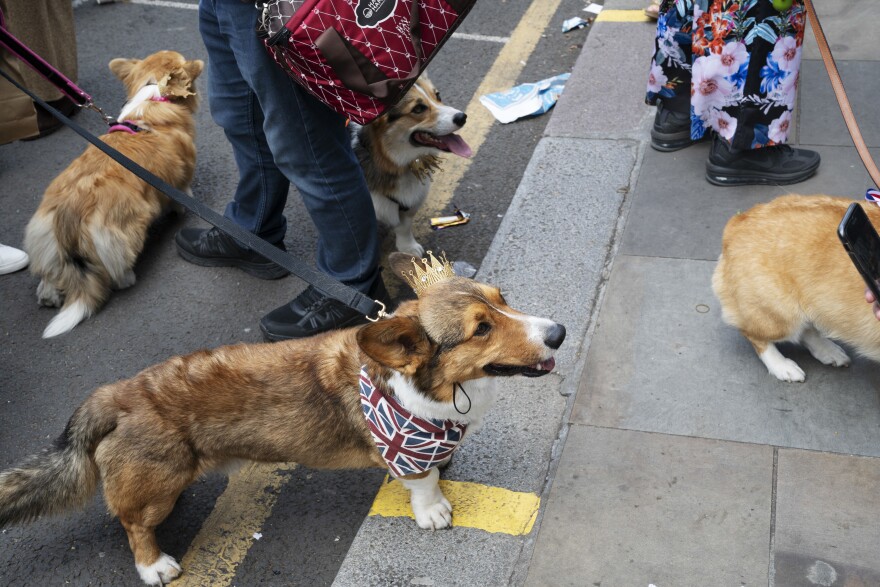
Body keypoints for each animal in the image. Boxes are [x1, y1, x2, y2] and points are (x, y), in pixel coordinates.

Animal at [0, 254, 564, 587]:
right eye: (481, 328)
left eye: (503, 299)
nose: (558, 332)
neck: (435, 388)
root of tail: (112, 396)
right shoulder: (405, 451)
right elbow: (423, 484)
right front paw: (434, 511)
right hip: (157, 484)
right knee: (134, 523)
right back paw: (154, 565)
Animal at [24, 52, 205, 338]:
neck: (153, 96)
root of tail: (68, 213)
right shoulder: (181, 176)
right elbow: (182, 193)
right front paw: (182, 208)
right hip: (122, 231)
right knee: (118, 269)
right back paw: (127, 278)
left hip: (44, 236)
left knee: (50, 275)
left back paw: (48, 294)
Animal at [352, 74, 474, 256]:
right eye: (418, 109)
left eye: (438, 95)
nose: (462, 117)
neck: (393, 162)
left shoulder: (409, 204)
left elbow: (403, 227)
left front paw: (408, 248)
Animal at [712, 195, 876, 384]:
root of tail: (739, 220)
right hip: (783, 315)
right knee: (756, 335)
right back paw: (782, 367)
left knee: (808, 329)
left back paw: (829, 351)